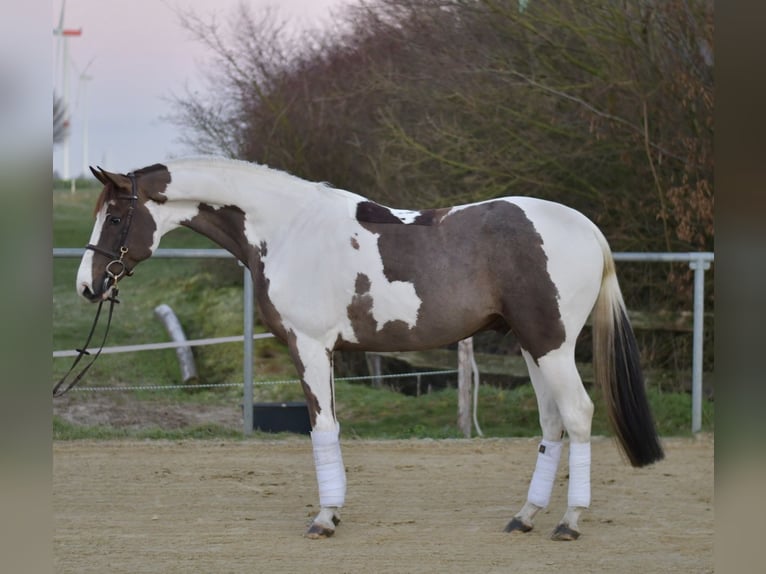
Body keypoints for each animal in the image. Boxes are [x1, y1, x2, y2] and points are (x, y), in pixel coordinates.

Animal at [74, 156, 664, 540]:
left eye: (116, 217)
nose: (87, 286)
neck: (287, 230)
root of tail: (586, 227)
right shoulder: (328, 351)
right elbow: (330, 428)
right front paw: (333, 512)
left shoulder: (309, 346)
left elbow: (322, 428)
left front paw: (324, 518)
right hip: (531, 345)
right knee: (551, 422)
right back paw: (525, 516)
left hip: (551, 345)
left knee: (578, 414)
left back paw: (569, 522)